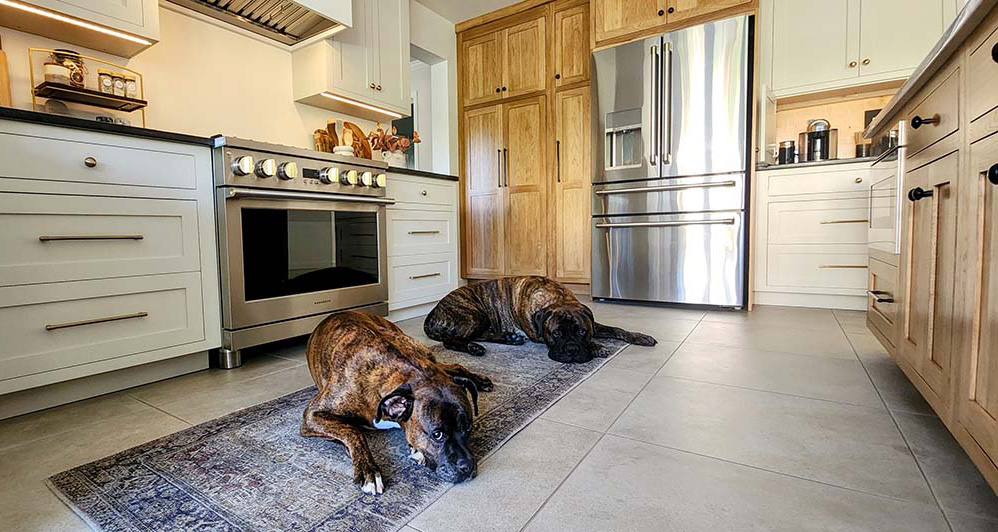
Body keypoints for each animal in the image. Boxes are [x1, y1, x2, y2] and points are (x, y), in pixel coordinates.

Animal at [302, 312, 494, 494]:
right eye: (437, 435)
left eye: (468, 427)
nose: (468, 467)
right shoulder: (312, 415)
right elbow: (352, 431)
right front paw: (368, 470)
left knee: (455, 366)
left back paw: (480, 378)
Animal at [426, 276, 660, 364]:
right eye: (556, 333)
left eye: (581, 332)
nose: (571, 350)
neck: (557, 298)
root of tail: (433, 312)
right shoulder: (537, 334)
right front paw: (598, 347)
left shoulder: (593, 324)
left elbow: (617, 329)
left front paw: (640, 337)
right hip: (474, 315)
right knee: (451, 340)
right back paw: (474, 348)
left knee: (482, 335)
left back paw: (509, 338)